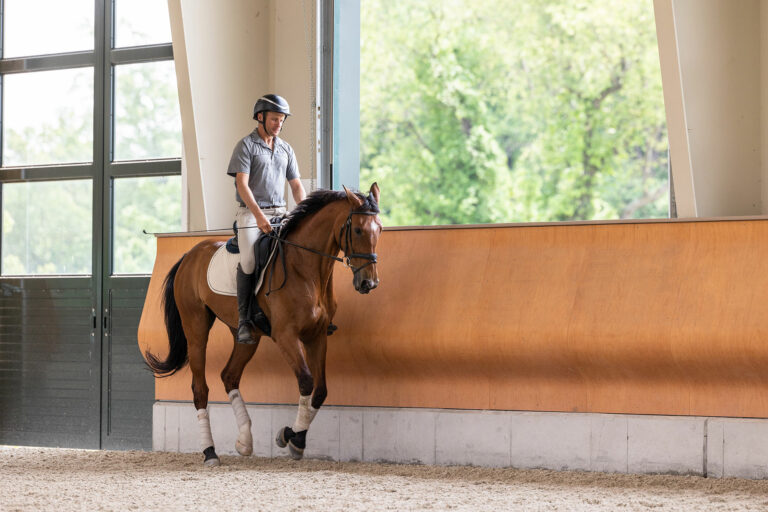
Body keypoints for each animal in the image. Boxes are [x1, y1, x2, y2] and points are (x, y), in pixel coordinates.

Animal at [142, 183, 380, 464]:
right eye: (358, 230)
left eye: (379, 229)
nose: (369, 283)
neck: (306, 270)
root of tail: (190, 254)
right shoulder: (286, 336)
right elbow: (306, 381)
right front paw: (293, 438)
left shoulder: (317, 335)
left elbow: (320, 390)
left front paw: (294, 436)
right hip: (196, 329)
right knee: (200, 388)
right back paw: (210, 452)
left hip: (247, 337)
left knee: (229, 376)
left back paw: (244, 440)